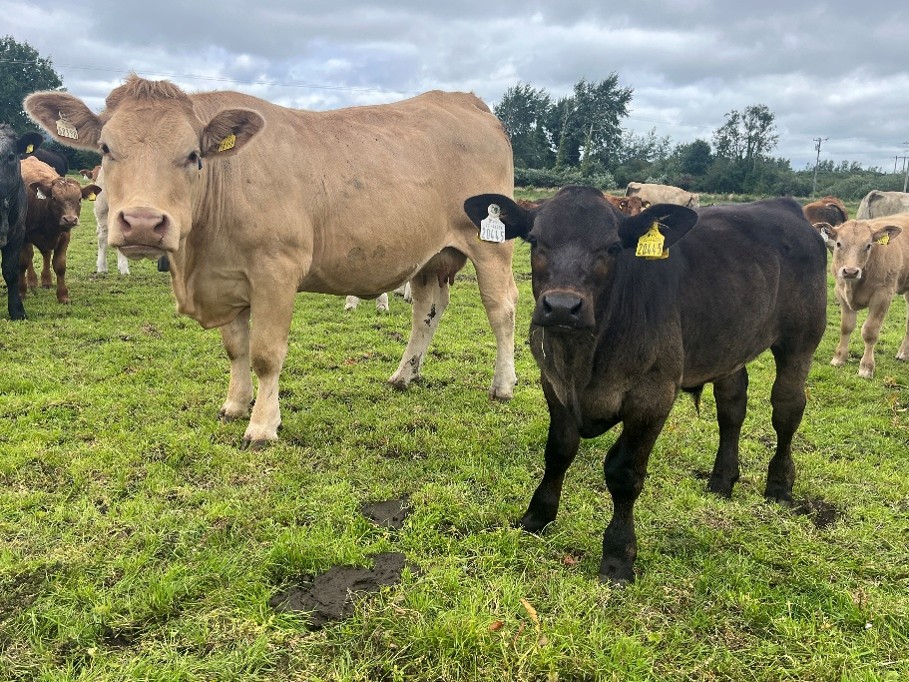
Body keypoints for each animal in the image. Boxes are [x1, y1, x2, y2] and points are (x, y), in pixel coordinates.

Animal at [19, 156, 100, 303]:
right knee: (30, 257)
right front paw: (21, 292)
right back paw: (32, 281)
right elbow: (23, 262)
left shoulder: (64, 237)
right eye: (55, 198)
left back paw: (46, 280)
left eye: (79, 199)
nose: (70, 219)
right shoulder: (23, 236)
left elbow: (60, 266)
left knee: (46, 254)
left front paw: (63, 296)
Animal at [464, 187, 827, 583]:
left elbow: (623, 473)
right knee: (732, 407)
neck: (584, 360)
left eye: (611, 247)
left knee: (787, 408)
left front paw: (618, 555)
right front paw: (537, 516)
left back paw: (779, 485)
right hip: (729, 343)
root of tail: (786, 207)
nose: (561, 306)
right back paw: (721, 480)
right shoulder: (554, 384)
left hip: (800, 340)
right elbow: (558, 451)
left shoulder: (653, 397)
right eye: (535, 240)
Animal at [816, 215, 909, 378]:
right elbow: (846, 327)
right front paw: (839, 358)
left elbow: (870, 332)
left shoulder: (882, 297)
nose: (850, 271)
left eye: (868, 246)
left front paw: (866, 367)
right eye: (838, 243)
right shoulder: (840, 293)